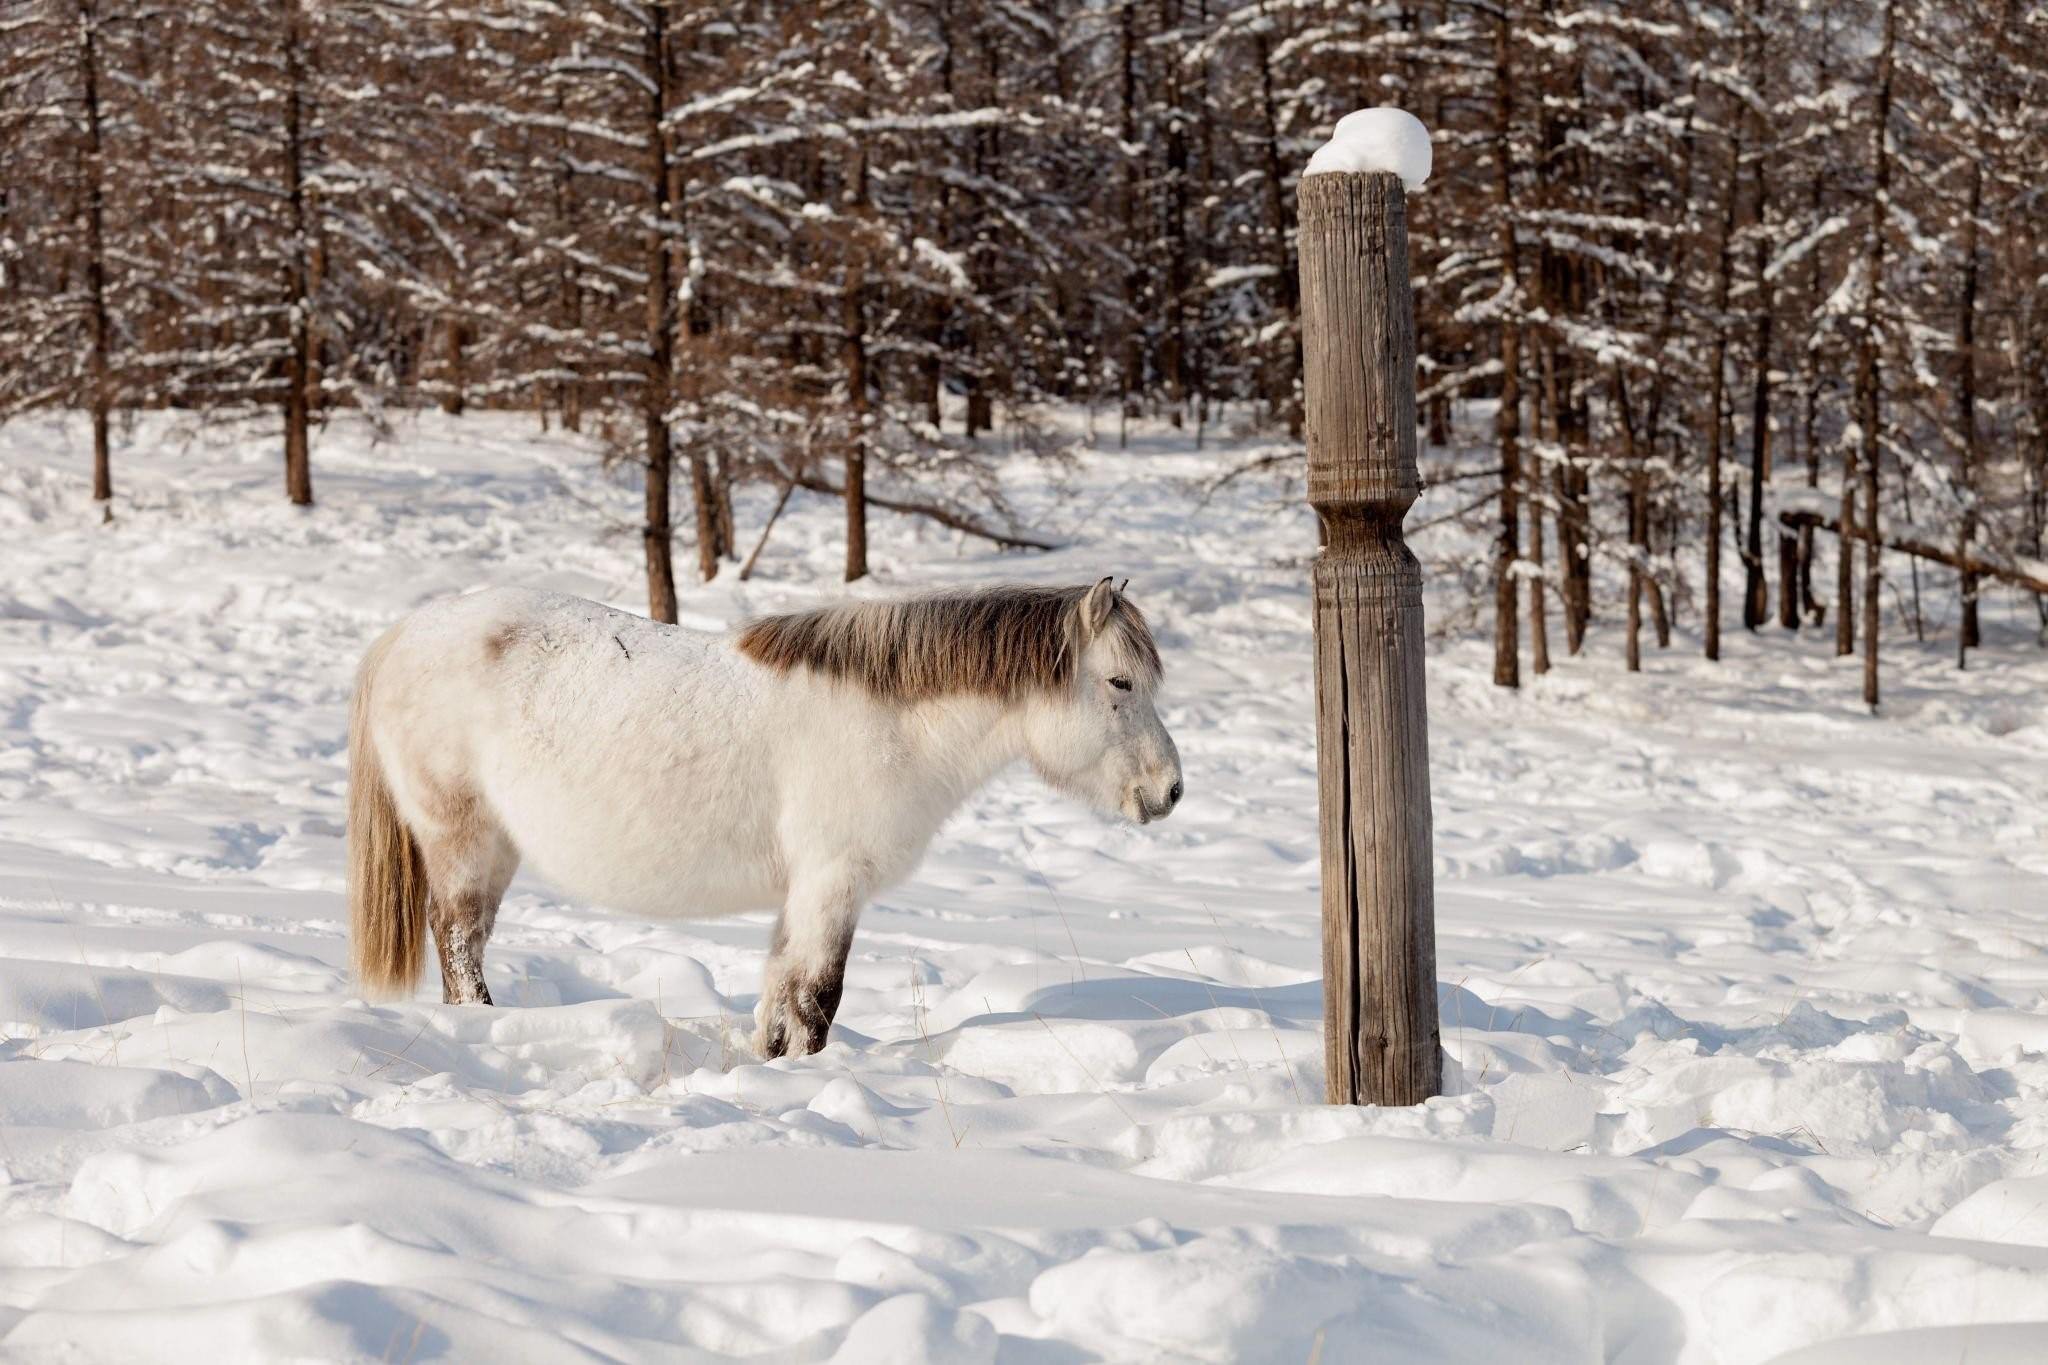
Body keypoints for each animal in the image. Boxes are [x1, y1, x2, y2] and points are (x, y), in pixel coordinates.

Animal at [348, 577, 1187, 1055]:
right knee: (459, 943)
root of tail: (407, 633)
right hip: (465, 841)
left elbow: (781, 998)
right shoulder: (833, 883)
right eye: (1120, 682)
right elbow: (817, 998)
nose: (1170, 789)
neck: (892, 722)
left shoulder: (803, 894)